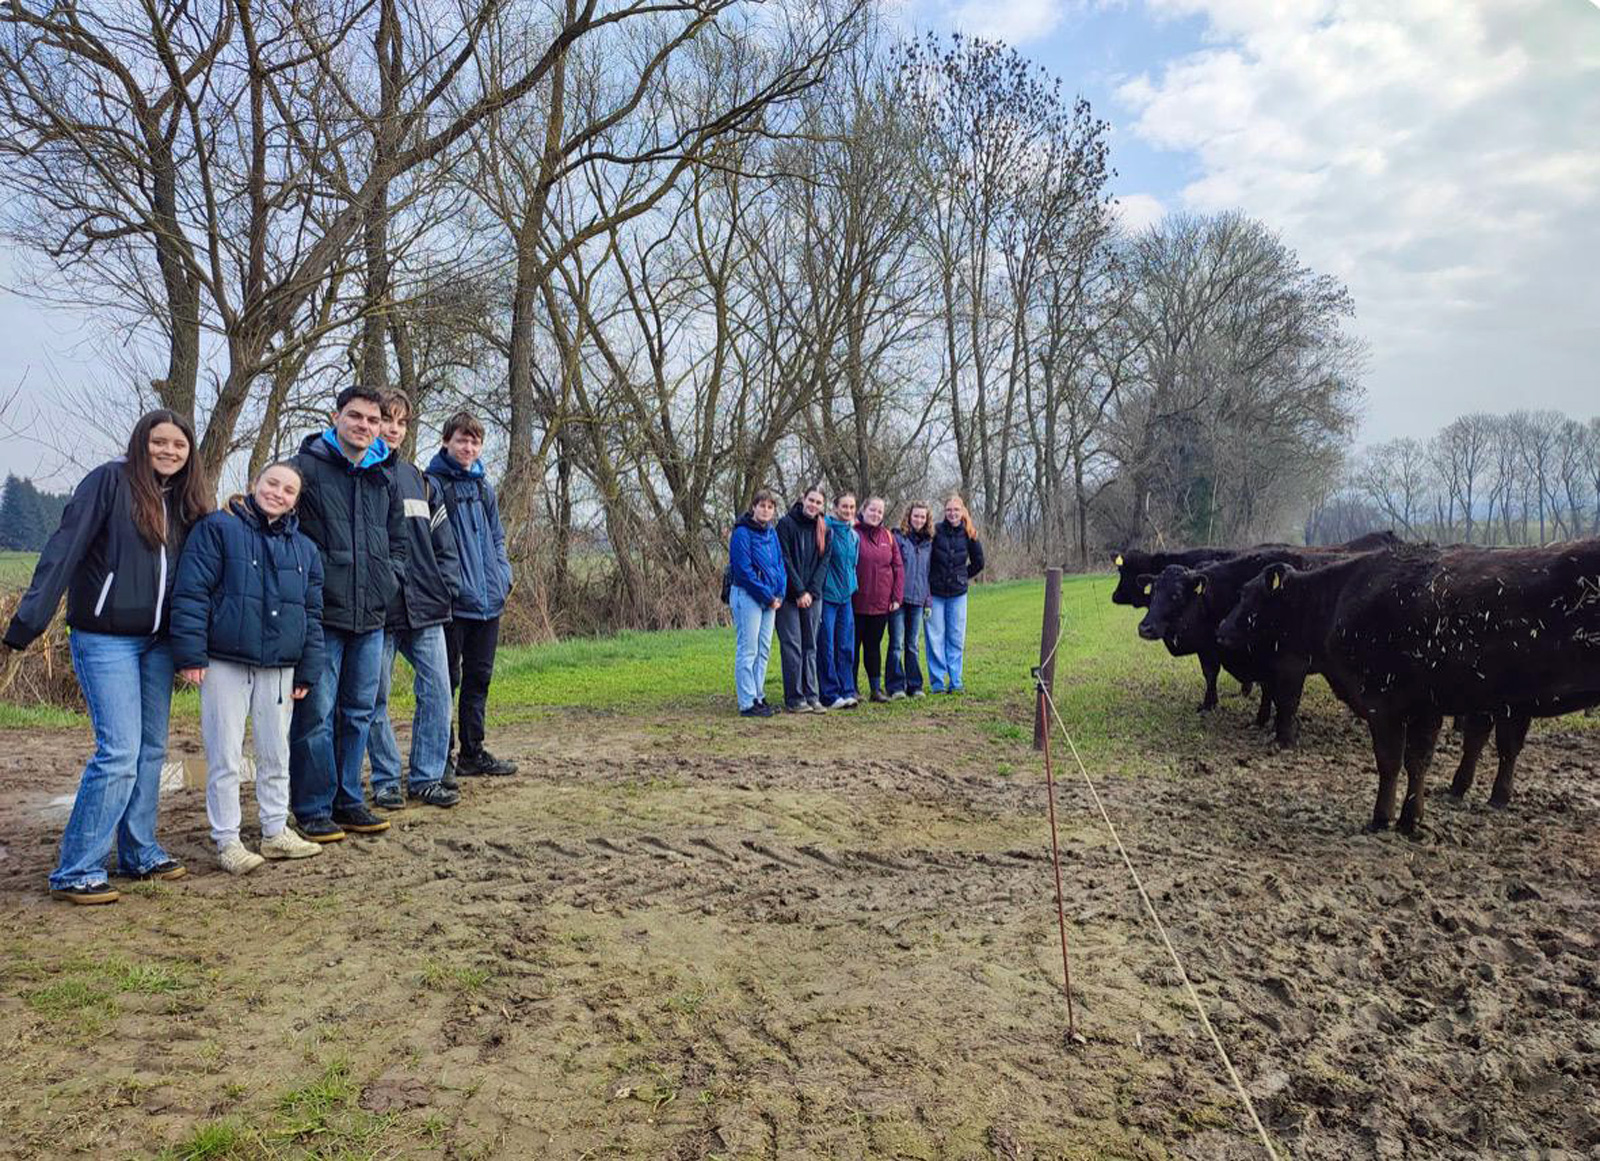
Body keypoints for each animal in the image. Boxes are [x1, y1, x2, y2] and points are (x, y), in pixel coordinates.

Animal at [1216, 542, 1600, 834]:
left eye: (1247, 595)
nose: (1221, 630)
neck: (1339, 597)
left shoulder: (1383, 703)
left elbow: (1390, 762)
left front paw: (1381, 817)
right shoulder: (1425, 707)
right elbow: (1418, 762)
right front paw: (1410, 819)